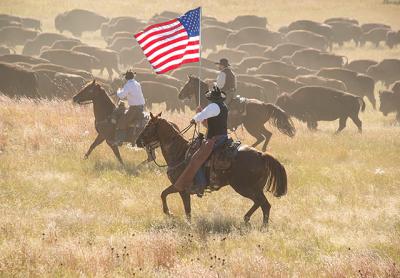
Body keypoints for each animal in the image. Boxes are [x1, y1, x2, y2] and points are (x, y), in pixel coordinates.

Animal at [136, 113, 290, 228]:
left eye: (148, 126)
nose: (137, 141)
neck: (180, 152)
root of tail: (261, 155)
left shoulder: (181, 187)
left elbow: (174, 201)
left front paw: (171, 214)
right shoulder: (180, 187)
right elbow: (167, 196)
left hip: (245, 187)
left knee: (264, 204)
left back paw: (260, 225)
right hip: (253, 188)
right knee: (262, 204)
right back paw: (249, 220)